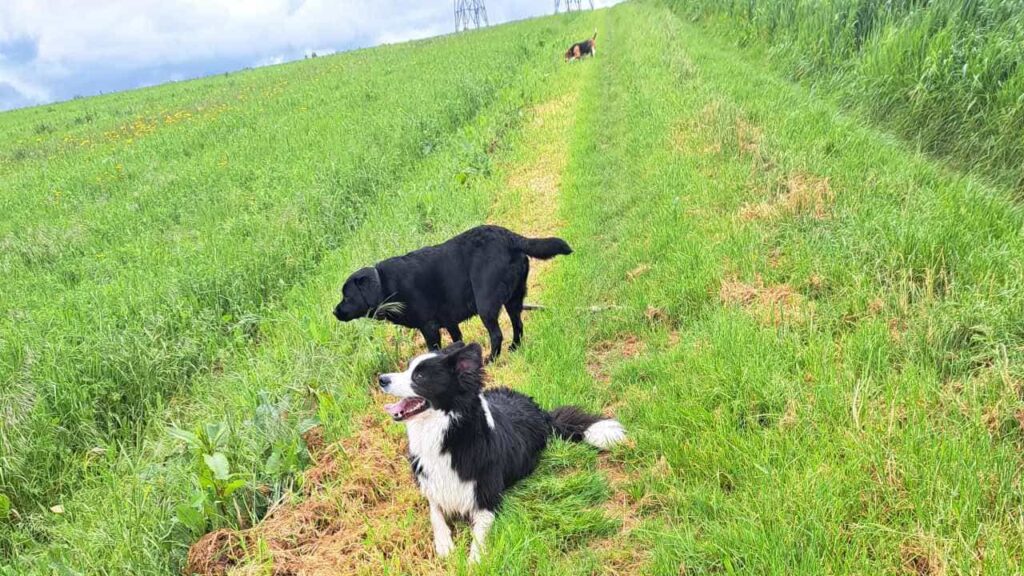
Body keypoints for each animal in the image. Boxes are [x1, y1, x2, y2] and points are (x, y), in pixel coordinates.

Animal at [335, 224, 577, 358]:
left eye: (347, 296)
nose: (334, 311)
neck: (385, 284)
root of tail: (509, 236)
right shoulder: (450, 322)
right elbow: (457, 341)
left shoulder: (429, 328)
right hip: (514, 300)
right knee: (518, 324)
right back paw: (514, 348)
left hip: (486, 304)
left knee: (497, 334)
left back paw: (492, 358)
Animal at [380, 340, 626, 561]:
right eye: (407, 368)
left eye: (419, 376)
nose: (381, 379)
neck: (448, 435)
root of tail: (542, 413)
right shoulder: (432, 487)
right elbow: (436, 515)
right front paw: (445, 545)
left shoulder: (488, 498)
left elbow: (478, 536)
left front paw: (474, 562)